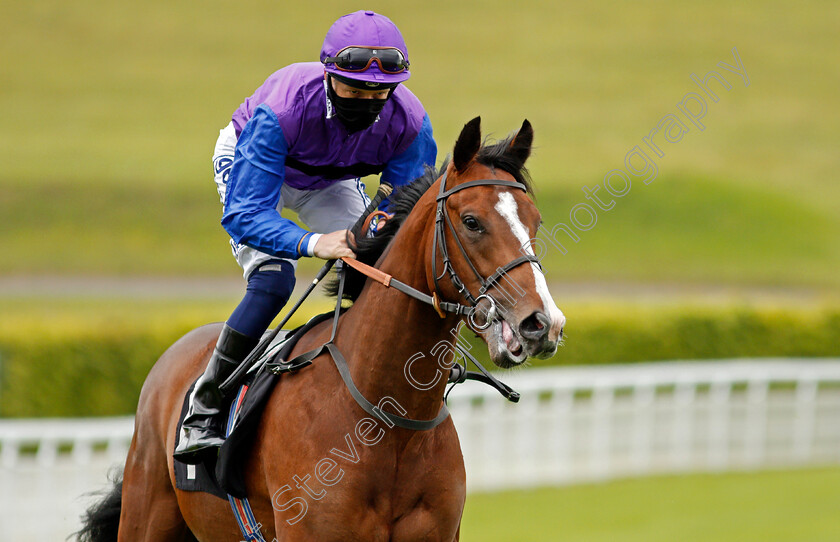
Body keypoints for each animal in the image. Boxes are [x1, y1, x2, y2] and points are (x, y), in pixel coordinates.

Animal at [79, 118, 564, 542]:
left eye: (535, 221)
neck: (387, 419)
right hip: (146, 515)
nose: (542, 324)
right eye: (472, 222)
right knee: (271, 274)